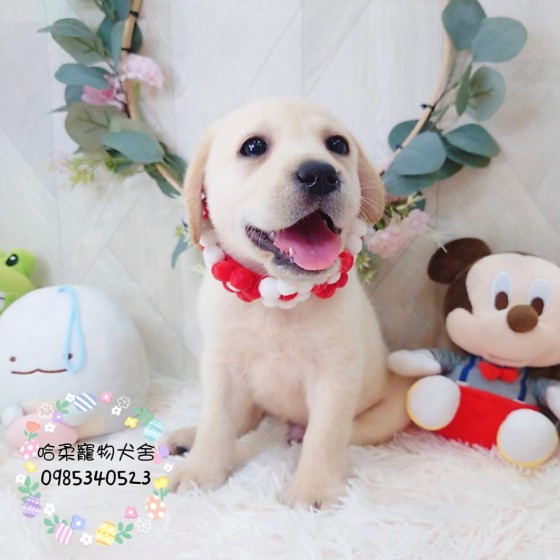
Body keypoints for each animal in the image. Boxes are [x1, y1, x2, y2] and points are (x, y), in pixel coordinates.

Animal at [167, 98, 411, 508]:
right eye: (253, 147)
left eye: (338, 145)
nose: (321, 174)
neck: (279, 297)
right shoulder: (221, 366)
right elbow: (217, 421)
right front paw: (201, 472)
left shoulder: (335, 372)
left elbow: (324, 434)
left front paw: (313, 488)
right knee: (245, 419)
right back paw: (189, 436)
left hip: (383, 413)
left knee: (330, 433)